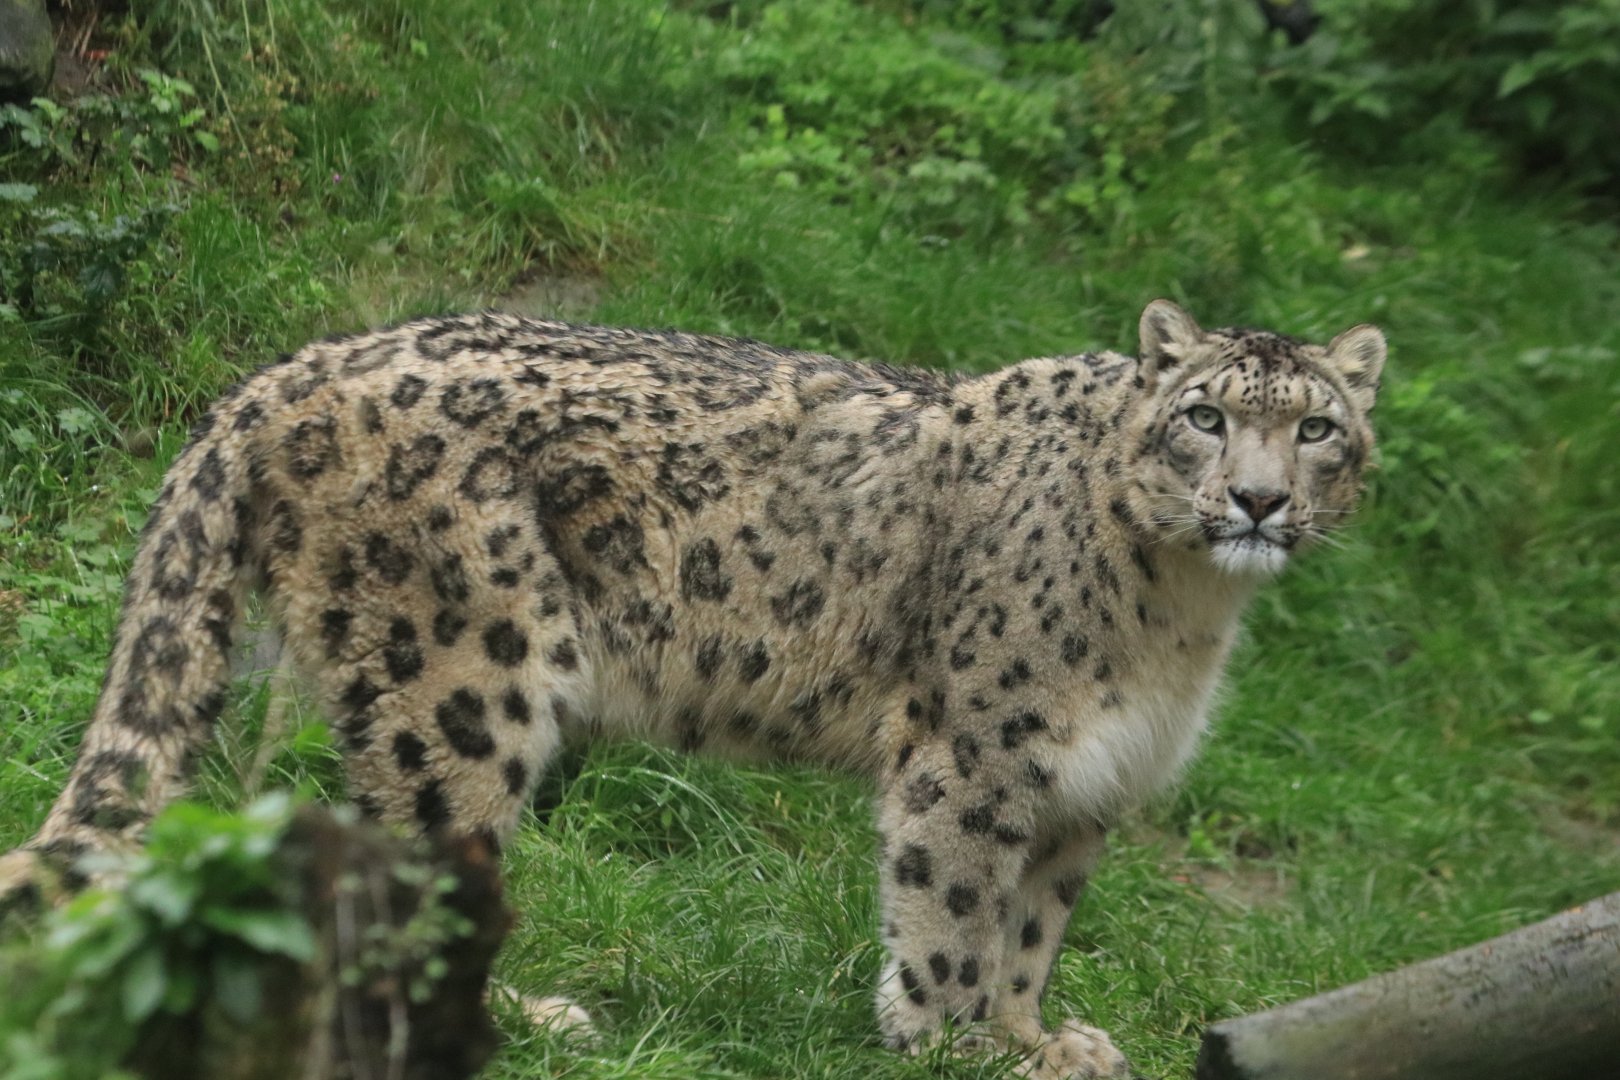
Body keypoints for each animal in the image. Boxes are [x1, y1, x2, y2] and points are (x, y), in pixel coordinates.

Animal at [0, 299, 1384, 1077]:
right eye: (1204, 416)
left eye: (1317, 429)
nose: (1258, 499)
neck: (1182, 620)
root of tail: (284, 369)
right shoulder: (980, 750)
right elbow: (956, 912)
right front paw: (959, 1049)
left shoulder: (1083, 782)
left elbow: (1032, 928)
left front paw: (1039, 1039)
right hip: (465, 680)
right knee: (426, 862)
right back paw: (529, 1022)